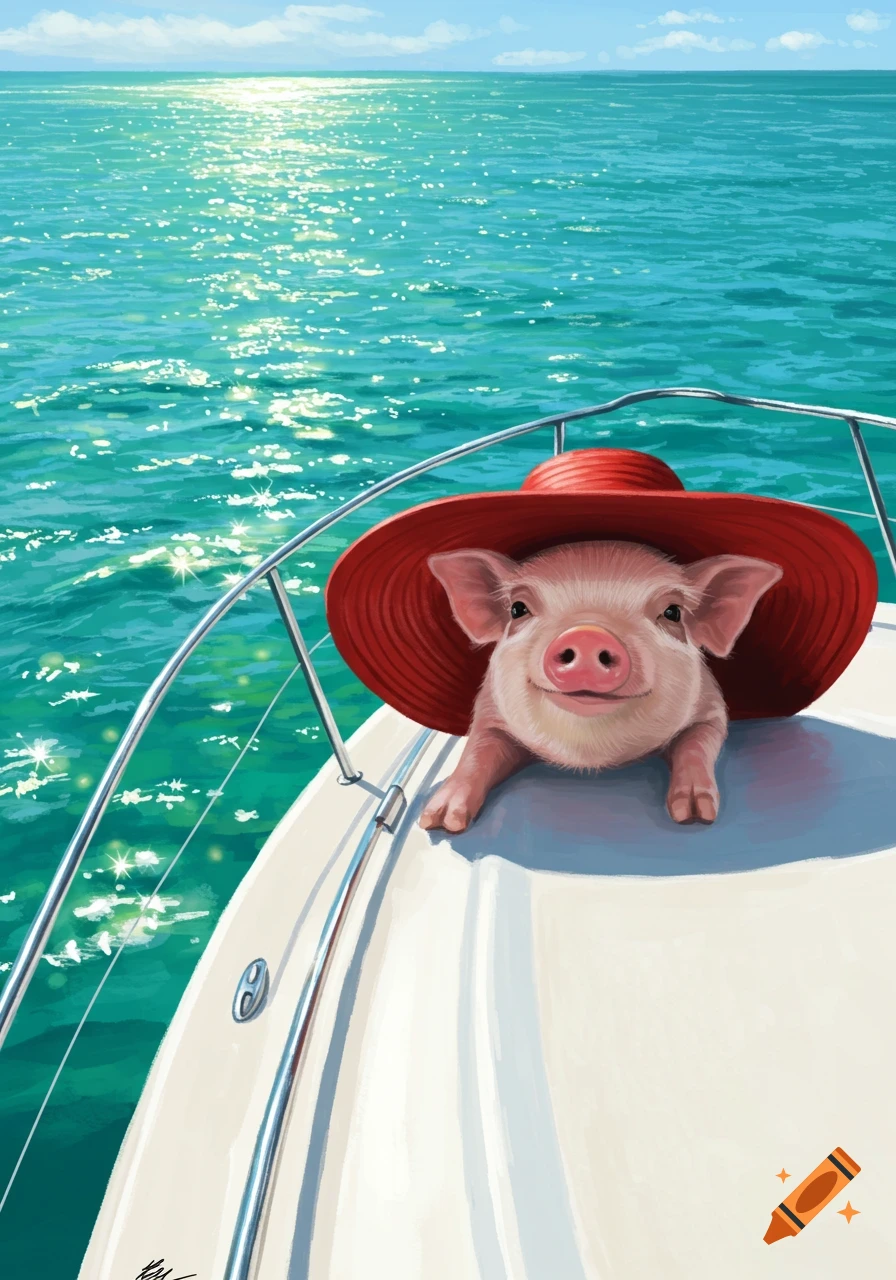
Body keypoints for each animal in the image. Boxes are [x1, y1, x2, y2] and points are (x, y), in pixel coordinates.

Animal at [418, 540, 782, 833]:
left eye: (672, 612)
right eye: (518, 609)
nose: (587, 633)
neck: (593, 760)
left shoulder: (712, 708)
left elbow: (698, 744)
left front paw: (695, 814)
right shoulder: (489, 709)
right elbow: (477, 750)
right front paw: (439, 821)